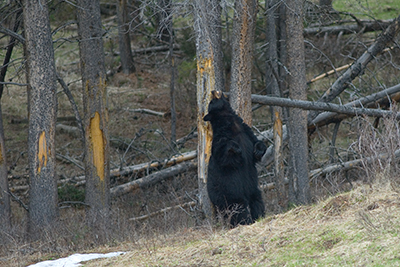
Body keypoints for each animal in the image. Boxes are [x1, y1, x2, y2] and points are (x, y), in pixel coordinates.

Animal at [205, 90, 268, 226]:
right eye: (211, 102)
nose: (213, 91)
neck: (231, 123)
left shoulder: (246, 131)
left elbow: (256, 143)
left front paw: (258, 149)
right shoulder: (220, 138)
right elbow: (223, 155)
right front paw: (237, 148)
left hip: (252, 188)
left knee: (257, 200)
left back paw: (259, 216)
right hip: (230, 193)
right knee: (239, 209)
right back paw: (245, 221)